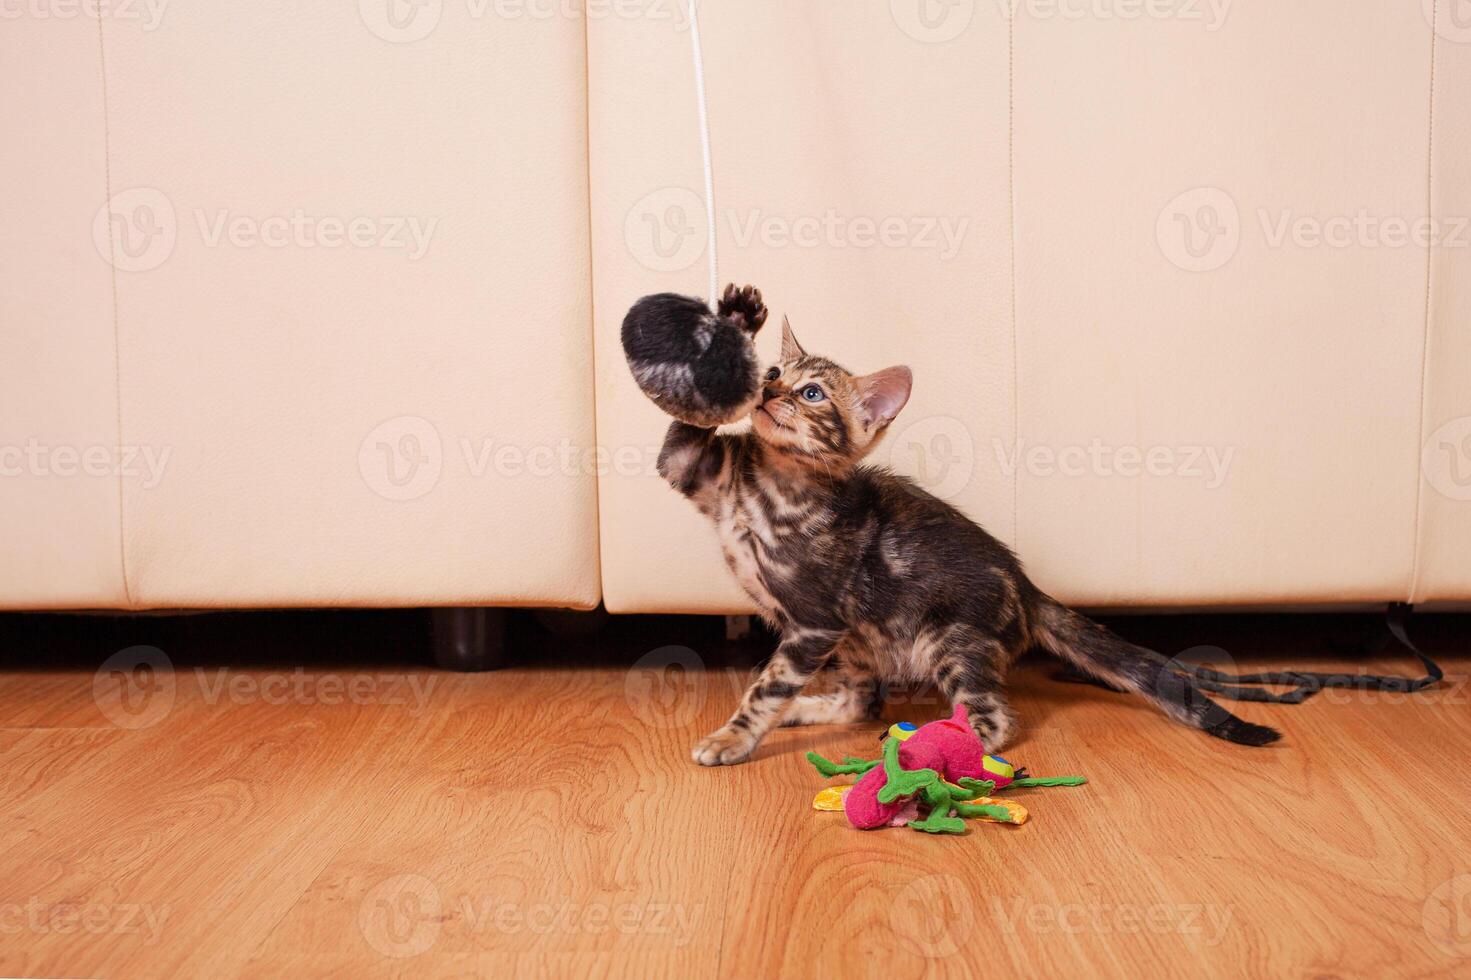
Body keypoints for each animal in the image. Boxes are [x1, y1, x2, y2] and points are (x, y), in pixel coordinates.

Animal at [656, 282, 1276, 765]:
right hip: (861, 637)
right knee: (861, 701)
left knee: (993, 718)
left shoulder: (813, 621)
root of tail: (1028, 587)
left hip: (950, 639)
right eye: (776, 371)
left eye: (812, 394)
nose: (769, 389)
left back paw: (931, 746)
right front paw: (734, 319)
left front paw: (732, 738)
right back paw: (812, 708)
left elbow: (767, 687)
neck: (772, 483)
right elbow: (682, 437)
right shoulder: (695, 471)